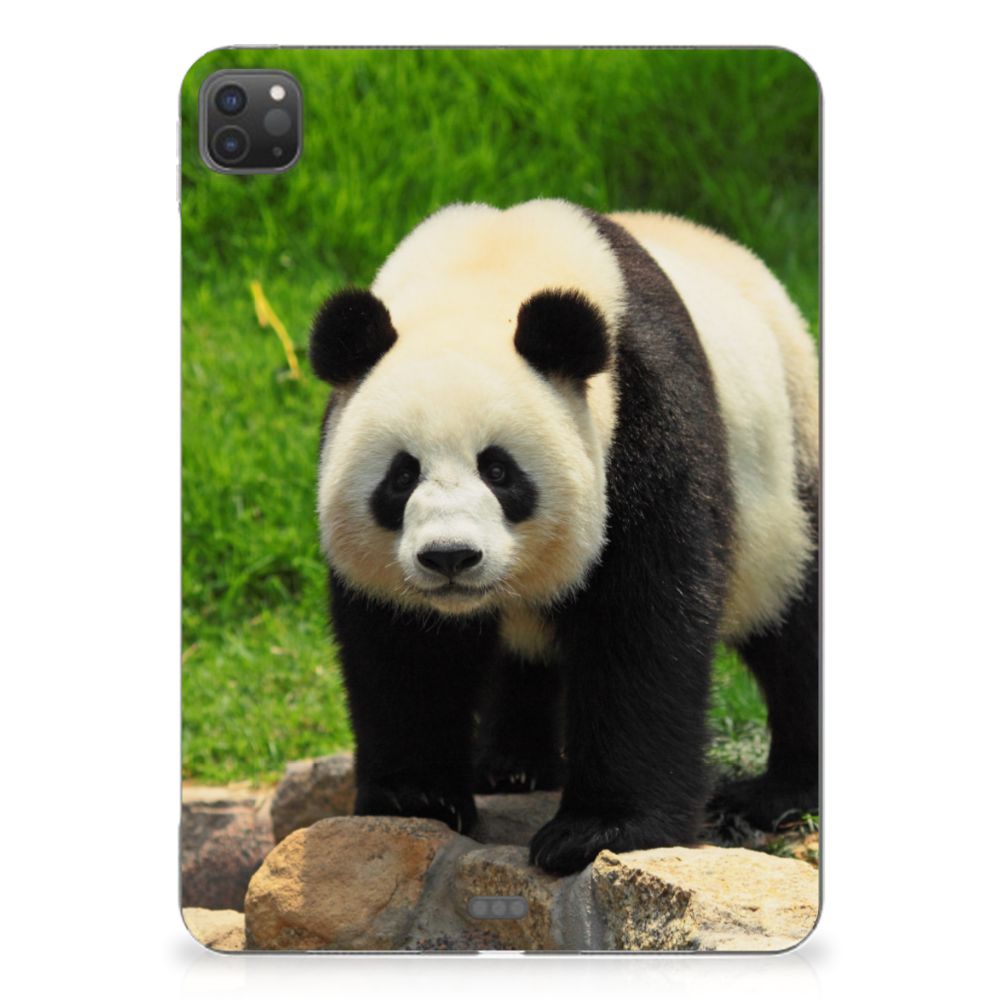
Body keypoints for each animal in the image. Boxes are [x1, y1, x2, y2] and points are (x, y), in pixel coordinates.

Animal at [309, 199, 819, 875]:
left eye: (499, 470)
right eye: (401, 475)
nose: (450, 557)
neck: (483, 275)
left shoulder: (644, 414)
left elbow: (642, 622)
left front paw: (599, 830)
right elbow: (404, 645)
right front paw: (414, 798)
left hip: (786, 465)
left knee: (794, 620)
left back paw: (778, 793)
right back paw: (512, 766)